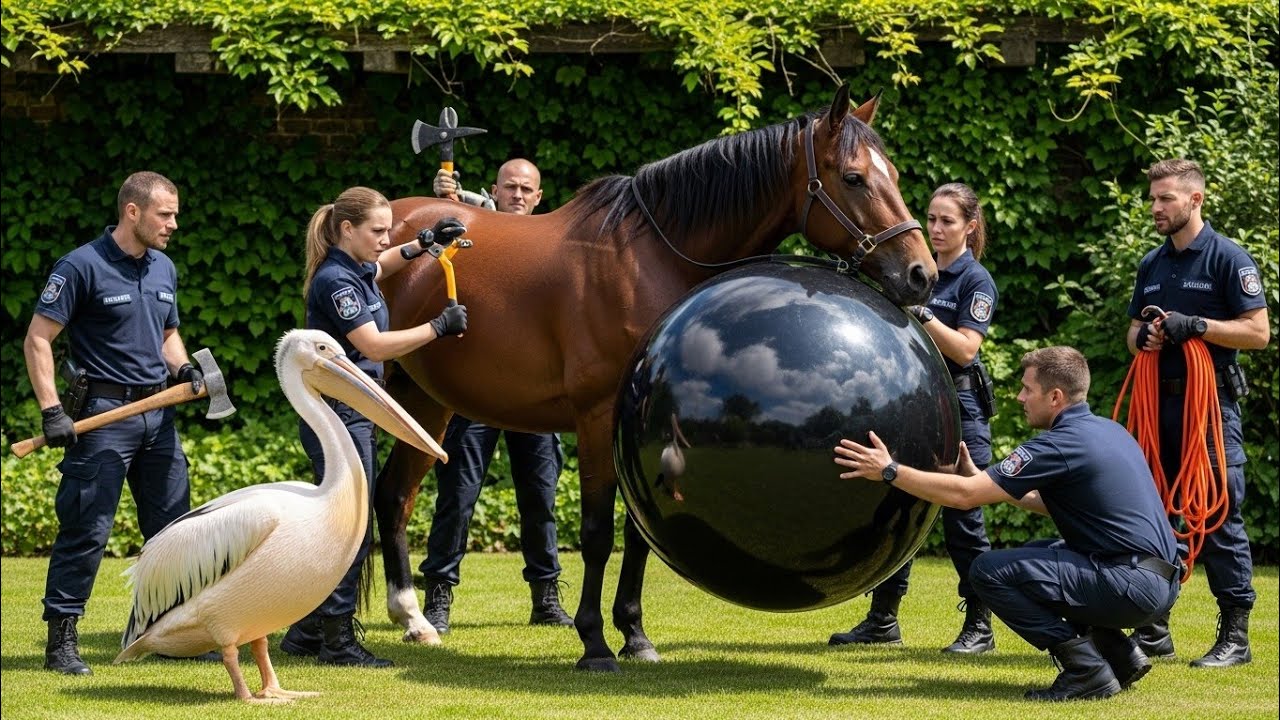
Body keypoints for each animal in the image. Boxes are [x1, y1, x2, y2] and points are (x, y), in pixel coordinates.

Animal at [374, 85, 937, 671]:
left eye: (893, 174)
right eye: (853, 177)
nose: (922, 273)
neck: (646, 257)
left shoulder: (640, 429)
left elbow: (639, 533)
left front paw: (635, 636)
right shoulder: (600, 417)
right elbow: (599, 532)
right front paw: (595, 644)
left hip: (422, 404)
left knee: (393, 497)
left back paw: (413, 619)